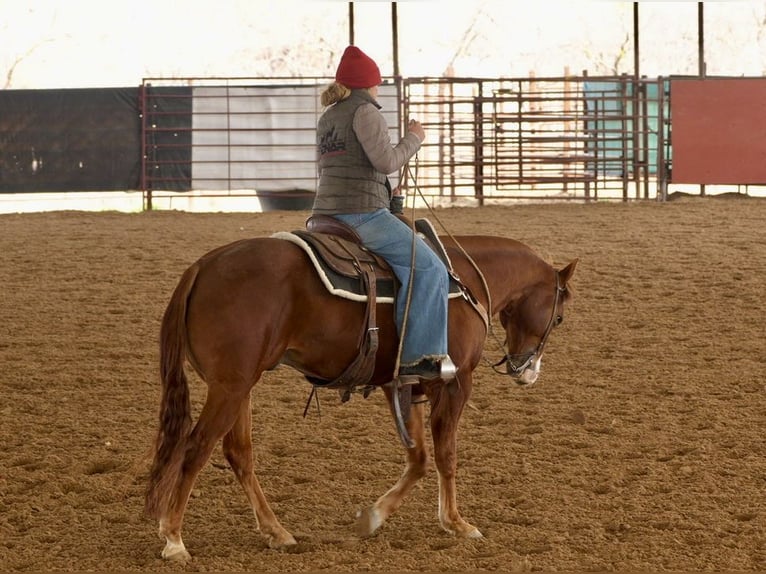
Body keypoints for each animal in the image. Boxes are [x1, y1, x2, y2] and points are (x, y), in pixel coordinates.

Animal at [144, 231, 580, 564]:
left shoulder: (404, 385)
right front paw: (457, 522)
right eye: (558, 317)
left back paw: (276, 531)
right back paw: (174, 538)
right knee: (196, 448)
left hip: (239, 387)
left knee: (238, 453)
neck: (463, 280)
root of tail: (204, 265)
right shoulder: (455, 383)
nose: (526, 371)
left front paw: (373, 516)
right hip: (230, 388)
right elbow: (446, 455)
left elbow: (419, 459)